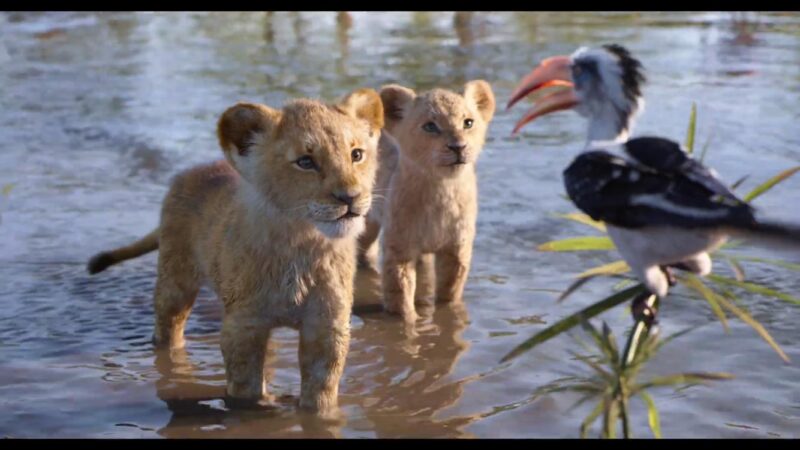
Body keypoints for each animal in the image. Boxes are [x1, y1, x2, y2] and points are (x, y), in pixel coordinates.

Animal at [86, 88, 384, 415]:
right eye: (305, 162)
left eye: (357, 155)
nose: (351, 197)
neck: (302, 244)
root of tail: (197, 169)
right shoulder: (243, 324)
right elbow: (245, 387)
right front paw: (256, 408)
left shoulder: (327, 324)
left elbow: (321, 389)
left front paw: (318, 414)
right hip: (175, 281)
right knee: (168, 325)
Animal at [357, 81, 496, 323]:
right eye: (430, 126)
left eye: (468, 122)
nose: (458, 147)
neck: (442, 190)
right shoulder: (399, 247)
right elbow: (400, 294)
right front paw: (410, 323)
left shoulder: (457, 248)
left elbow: (450, 291)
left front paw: (449, 313)